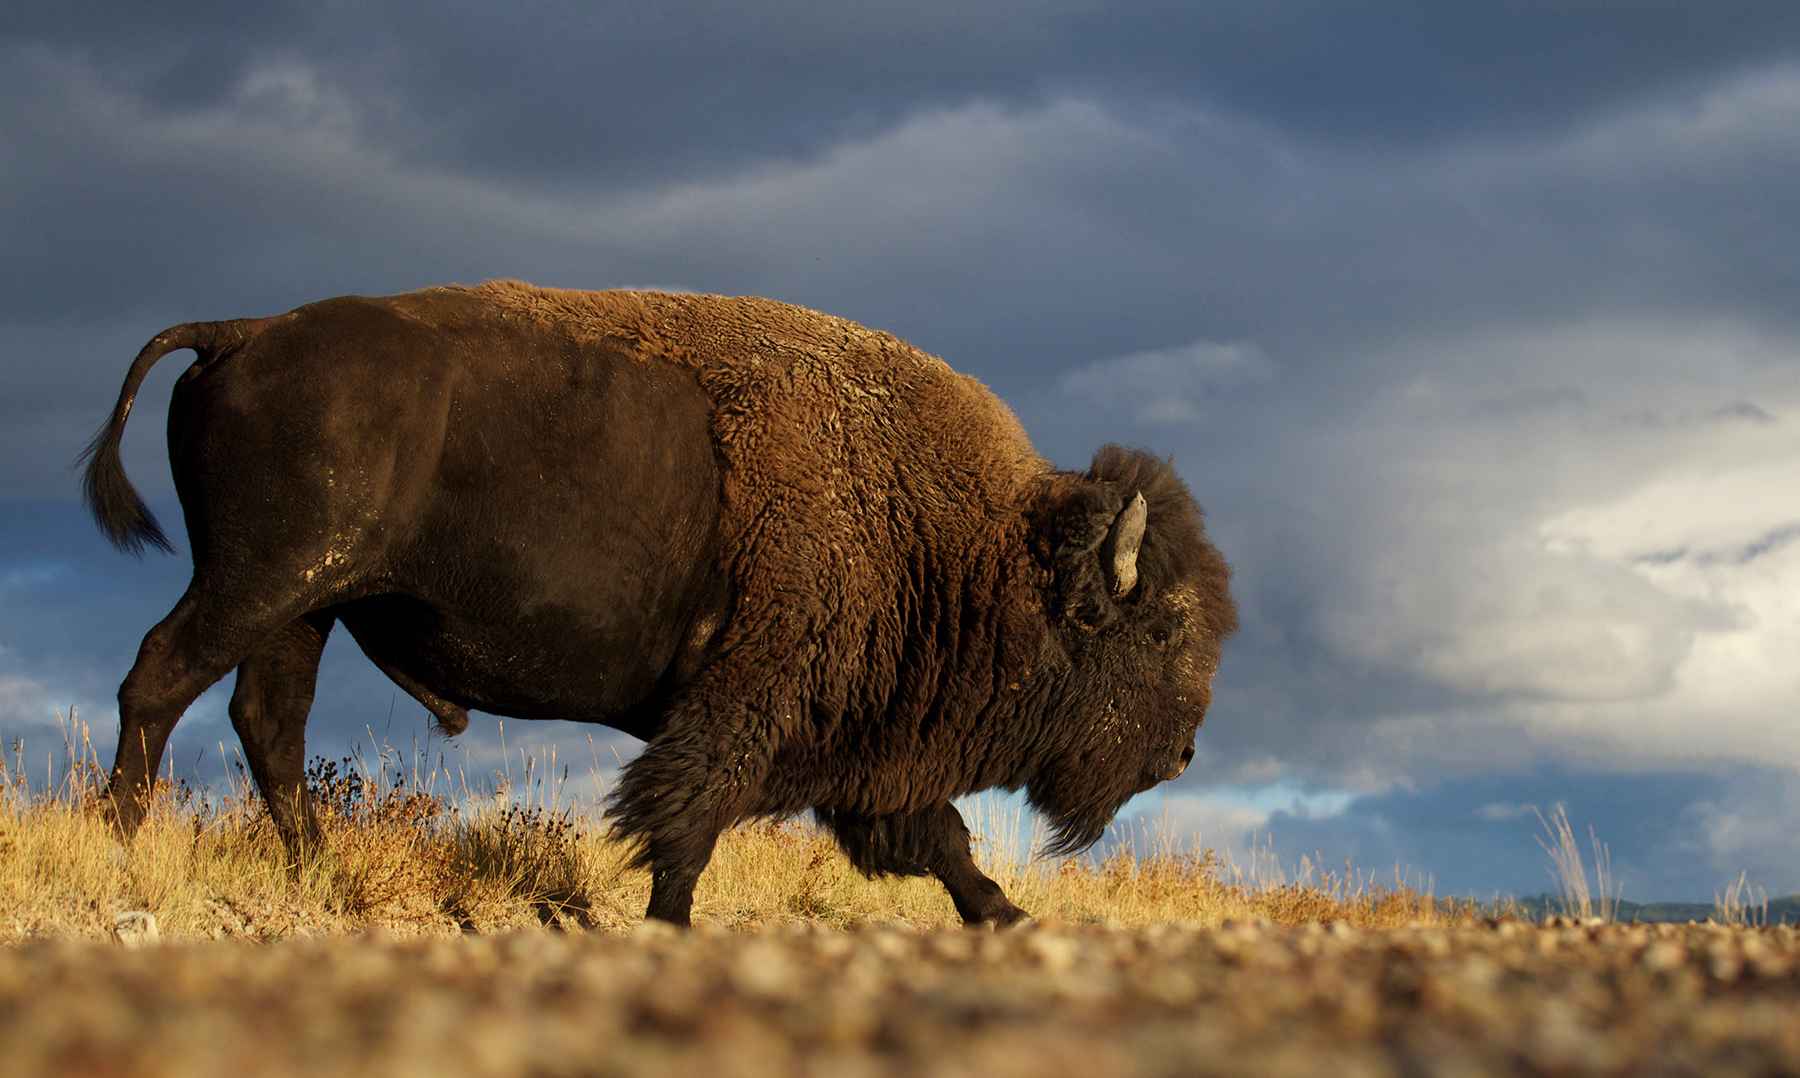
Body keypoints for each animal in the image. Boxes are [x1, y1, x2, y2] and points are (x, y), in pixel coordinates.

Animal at [84, 284, 1238, 928]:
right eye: (1161, 627)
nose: (1182, 752)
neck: (974, 538)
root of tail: (241, 332)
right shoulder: (747, 704)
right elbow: (688, 818)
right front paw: (669, 923)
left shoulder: (865, 752)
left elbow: (940, 841)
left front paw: (1007, 915)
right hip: (258, 584)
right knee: (160, 677)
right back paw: (123, 846)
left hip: (305, 605)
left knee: (266, 723)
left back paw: (320, 871)